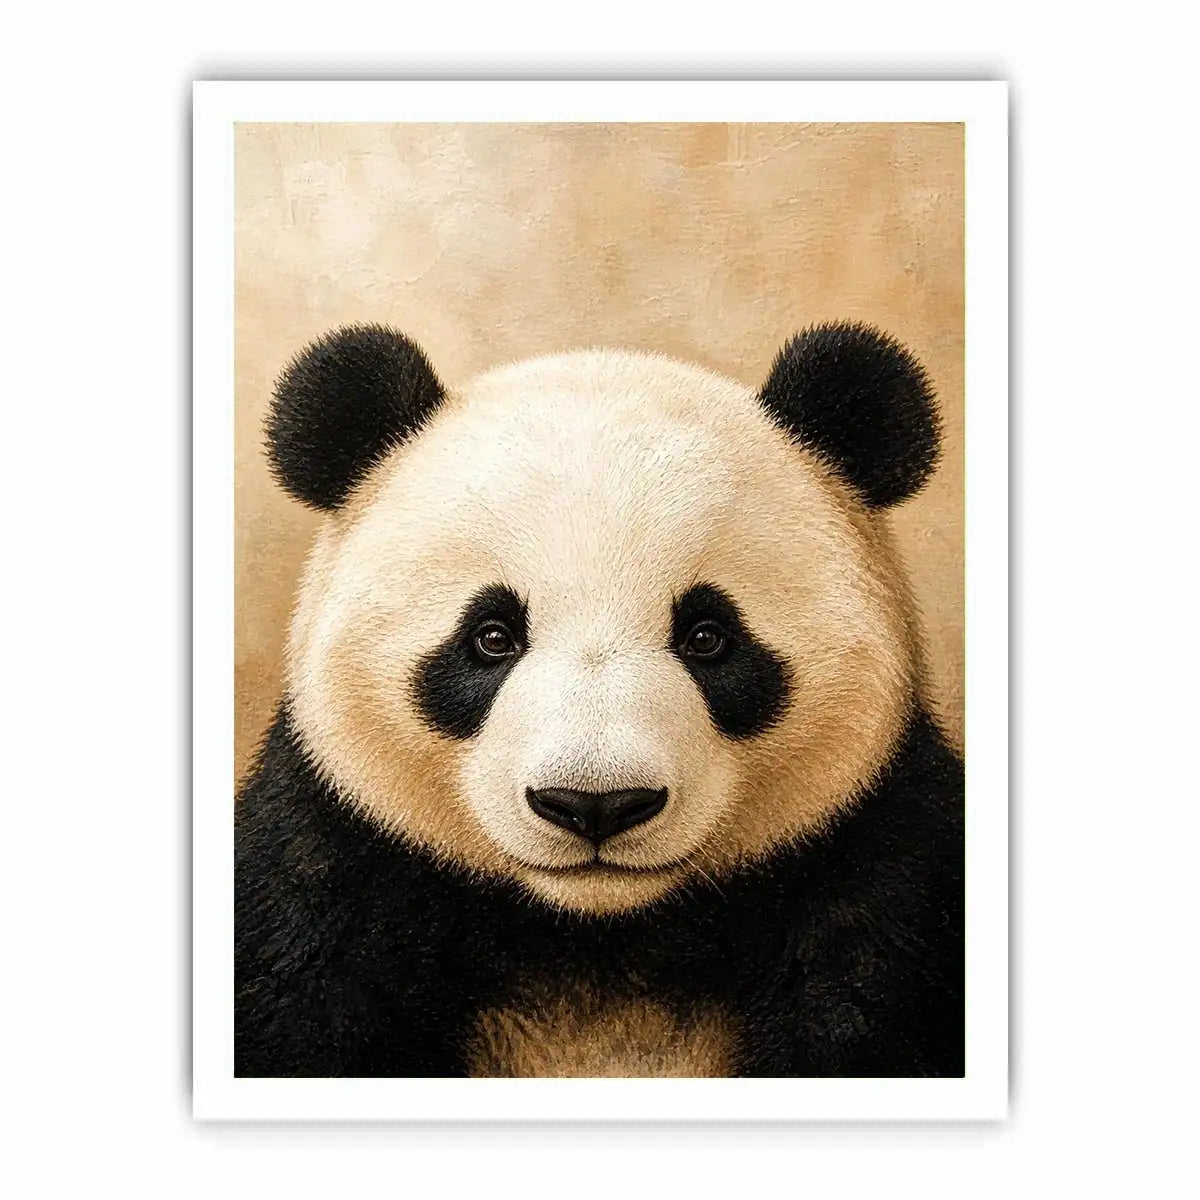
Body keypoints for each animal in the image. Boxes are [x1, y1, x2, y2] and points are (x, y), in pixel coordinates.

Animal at [235, 321, 964, 1078]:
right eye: (491, 636)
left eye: (708, 636)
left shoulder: (882, 878)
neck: (597, 936)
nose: (596, 804)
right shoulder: (328, 877)